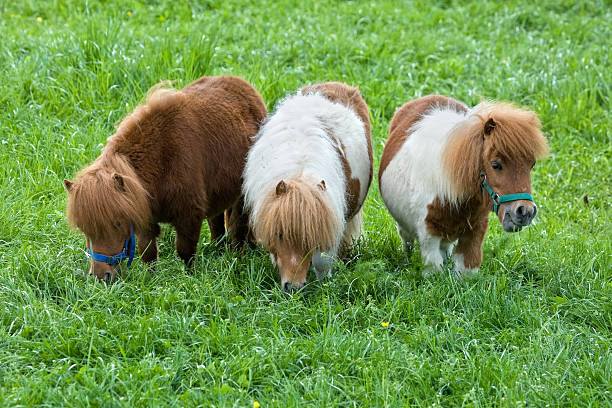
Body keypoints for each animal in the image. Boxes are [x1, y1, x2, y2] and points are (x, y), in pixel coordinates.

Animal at [64, 75, 266, 280]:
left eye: (117, 223)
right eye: (84, 229)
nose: (101, 276)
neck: (161, 162)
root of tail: (243, 85)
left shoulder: (188, 217)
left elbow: (185, 252)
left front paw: (190, 279)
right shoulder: (145, 217)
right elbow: (148, 253)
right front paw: (151, 280)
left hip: (242, 196)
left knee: (237, 226)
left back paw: (238, 258)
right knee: (217, 223)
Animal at [244, 82, 372, 290]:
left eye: (310, 239)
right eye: (280, 234)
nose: (293, 287)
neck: (300, 170)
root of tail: (338, 85)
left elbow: (322, 260)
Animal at [380, 94, 548, 276]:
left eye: (531, 164)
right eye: (496, 165)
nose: (525, 212)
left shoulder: (474, 232)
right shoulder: (429, 235)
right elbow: (434, 270)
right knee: (408, 242)